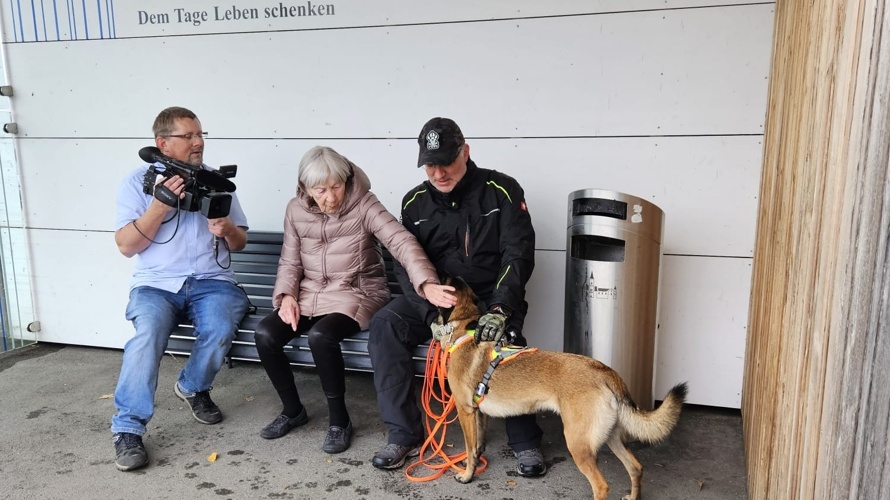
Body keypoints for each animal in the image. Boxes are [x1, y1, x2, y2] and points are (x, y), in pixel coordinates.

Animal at [430, 278, 688, 500]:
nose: (427, 285)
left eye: (442, 280)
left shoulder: (465, 410)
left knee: (601, 486)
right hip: (611, 437)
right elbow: (477, 444)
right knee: (635, 467)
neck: (464, 327)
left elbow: (469, 447)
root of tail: (604, 371)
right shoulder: (478, 411)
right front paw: (476, 458)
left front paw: (467, 475)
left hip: (578, 444)